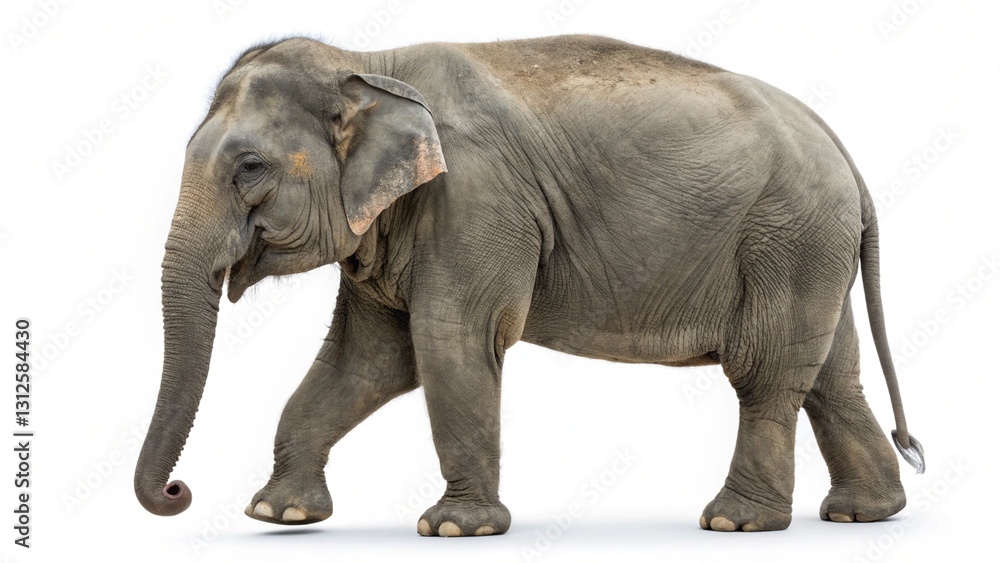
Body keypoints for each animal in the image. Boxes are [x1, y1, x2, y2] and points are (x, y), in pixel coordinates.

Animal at [135, 34, 924, 536]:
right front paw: (279, 515)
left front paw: (456, 527)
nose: (178, 490)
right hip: (810, 247)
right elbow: (368, 359)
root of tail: (848, 157)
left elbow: (450, 341)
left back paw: (737, 520)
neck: (367, 64)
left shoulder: (476, 200)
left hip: (786, 237)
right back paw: (865, 512)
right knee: (828, 376)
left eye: (249, 169)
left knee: (765, 372)